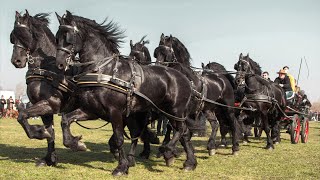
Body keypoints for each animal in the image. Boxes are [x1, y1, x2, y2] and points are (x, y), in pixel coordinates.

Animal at [9, 10, 77, 166]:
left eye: (25, 35)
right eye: (13, 37)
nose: (16, 61)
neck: (47, 68)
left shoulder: (50, 104)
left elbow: (22, 115)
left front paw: (39, 132)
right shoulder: (45, 110)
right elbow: (50, 132)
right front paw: (49, 159)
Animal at [54, 10, 196, 174]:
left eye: (68, 37)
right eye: (57, 37)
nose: (60, 63)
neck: (104, 70)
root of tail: (184, 78)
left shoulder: (115, 112)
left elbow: (119, 138)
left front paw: (121, 166)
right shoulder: (93, 111)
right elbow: (66, 120)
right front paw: (75, 143)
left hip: (175, 111)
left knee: (181, 130)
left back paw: (168, 151)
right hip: (164, 112)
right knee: (181, 132)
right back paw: (188, 162)